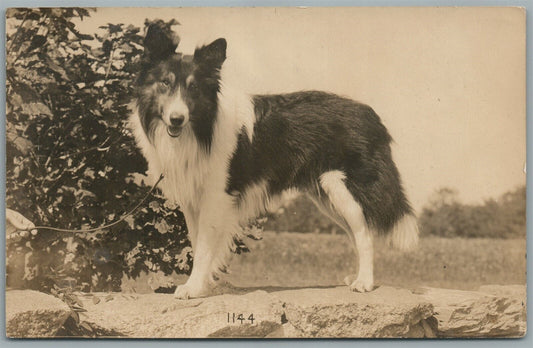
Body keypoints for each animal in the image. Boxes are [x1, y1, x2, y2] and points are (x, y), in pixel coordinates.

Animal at [131, 21, 418, 300]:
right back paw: (355, 277)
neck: (202, 127)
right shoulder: (193, 198)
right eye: (165, 83)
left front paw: (193, 288)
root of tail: (371, 115)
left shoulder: (217, 195)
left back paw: (364, 282)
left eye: (193, 87)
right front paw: (205, 284)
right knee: (355, 232)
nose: (176, 119)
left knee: (364, 234)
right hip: (326, 196)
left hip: (344, 188)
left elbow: (202, 247)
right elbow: (197, 240)